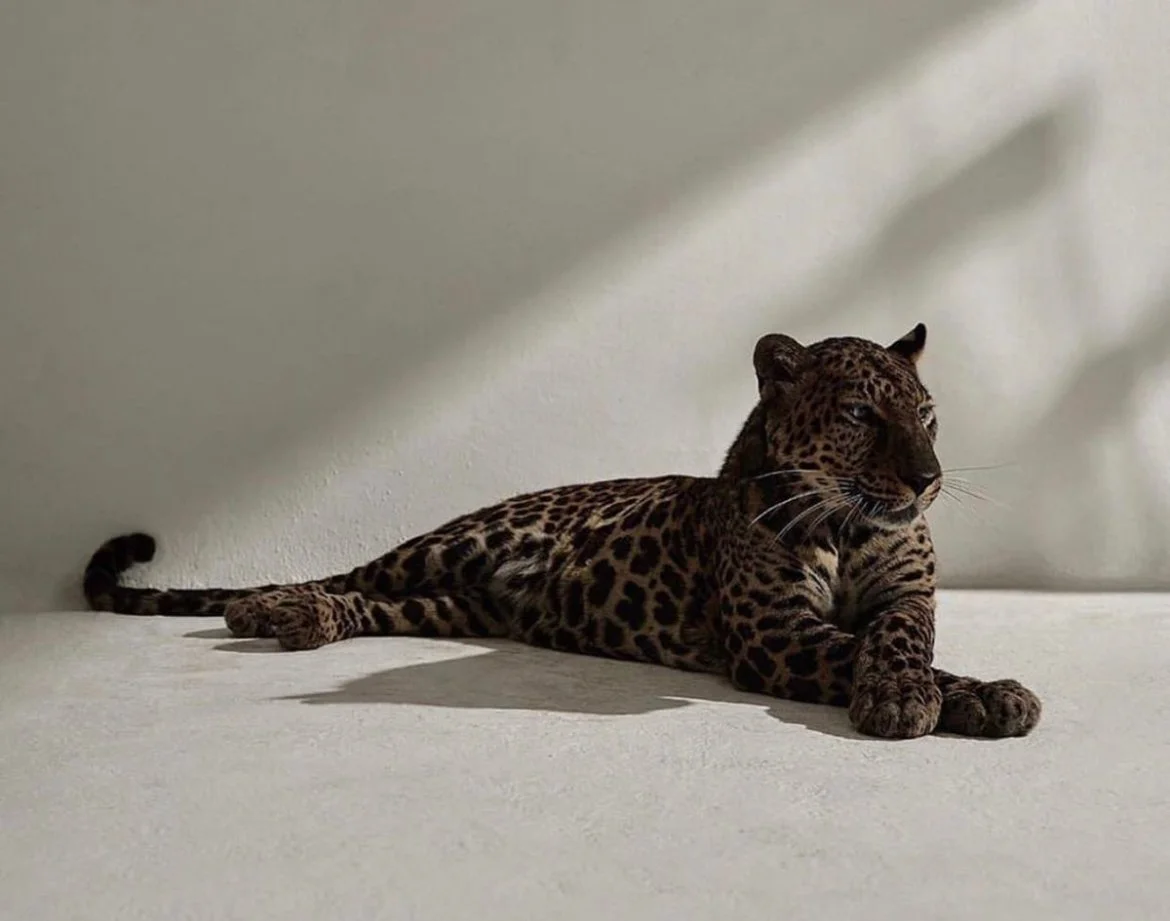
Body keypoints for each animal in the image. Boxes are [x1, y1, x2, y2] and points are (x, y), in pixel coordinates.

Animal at [83, 323, 1041, 739]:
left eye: (929, 418)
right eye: (858, 415)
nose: (928, 478)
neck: (847, 529)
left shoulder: (908, 595)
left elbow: (899, 638)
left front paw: (972, 691)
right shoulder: (772, 632)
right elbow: (867, 651)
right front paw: (946, 696)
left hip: (450, 607)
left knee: (374, 605)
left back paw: (301, 622)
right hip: (452, 543)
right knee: (349, 573)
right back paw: (273, 607)